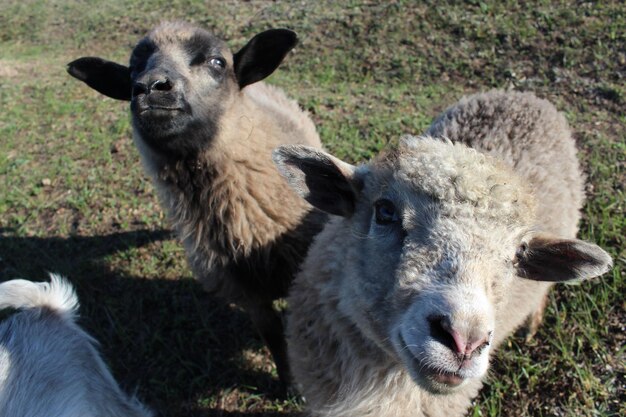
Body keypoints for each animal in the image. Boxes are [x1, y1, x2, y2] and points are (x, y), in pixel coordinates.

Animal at [66, 21, 324, 386]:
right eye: (132, 69)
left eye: (217, 62)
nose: (150, 87)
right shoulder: (247, 293)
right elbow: (273, 337)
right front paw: (287, 383)